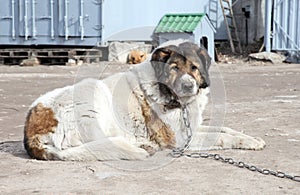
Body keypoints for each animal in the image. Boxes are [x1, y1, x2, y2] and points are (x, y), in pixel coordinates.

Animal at [24, 40, 266, 161]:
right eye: (174, 68)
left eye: (194, 68)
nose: (188, 85)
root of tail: (31, 135)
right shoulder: (179, 140)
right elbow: (222, 137)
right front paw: (248, 143)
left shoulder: (192, 128)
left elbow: (225, 129)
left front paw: (251, 138)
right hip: (93, 91)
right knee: (103, 143)